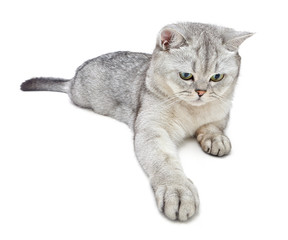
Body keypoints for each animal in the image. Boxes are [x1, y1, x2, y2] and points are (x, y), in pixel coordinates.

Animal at [21, 22, 253, 221]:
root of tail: (75, 76)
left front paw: (216, 139)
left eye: (217, 77)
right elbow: (165, 162)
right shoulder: (151, 129)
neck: (192, 112)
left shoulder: (221, 115)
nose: (201, 92)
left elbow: (212, 126)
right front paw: (176, 190)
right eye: (186, 75)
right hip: (80, 96)